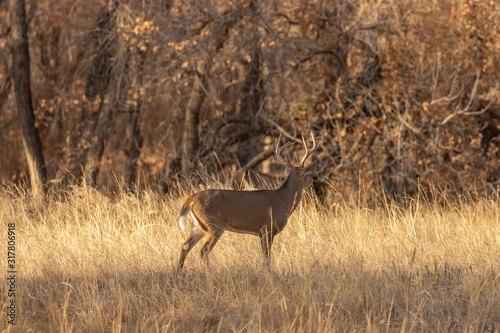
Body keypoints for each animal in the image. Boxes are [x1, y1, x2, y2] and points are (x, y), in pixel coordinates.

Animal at [178, 130, 322, 268]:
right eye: (308, 175)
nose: (313, 182)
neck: (284, 201)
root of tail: (191, 198)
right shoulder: (268, 227)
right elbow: (267, 256)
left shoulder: (261, 232)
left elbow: (265, 256)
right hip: (213, 224)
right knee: (204, 250)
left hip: (198, 226)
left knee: (185, 246)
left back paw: (179, 271)